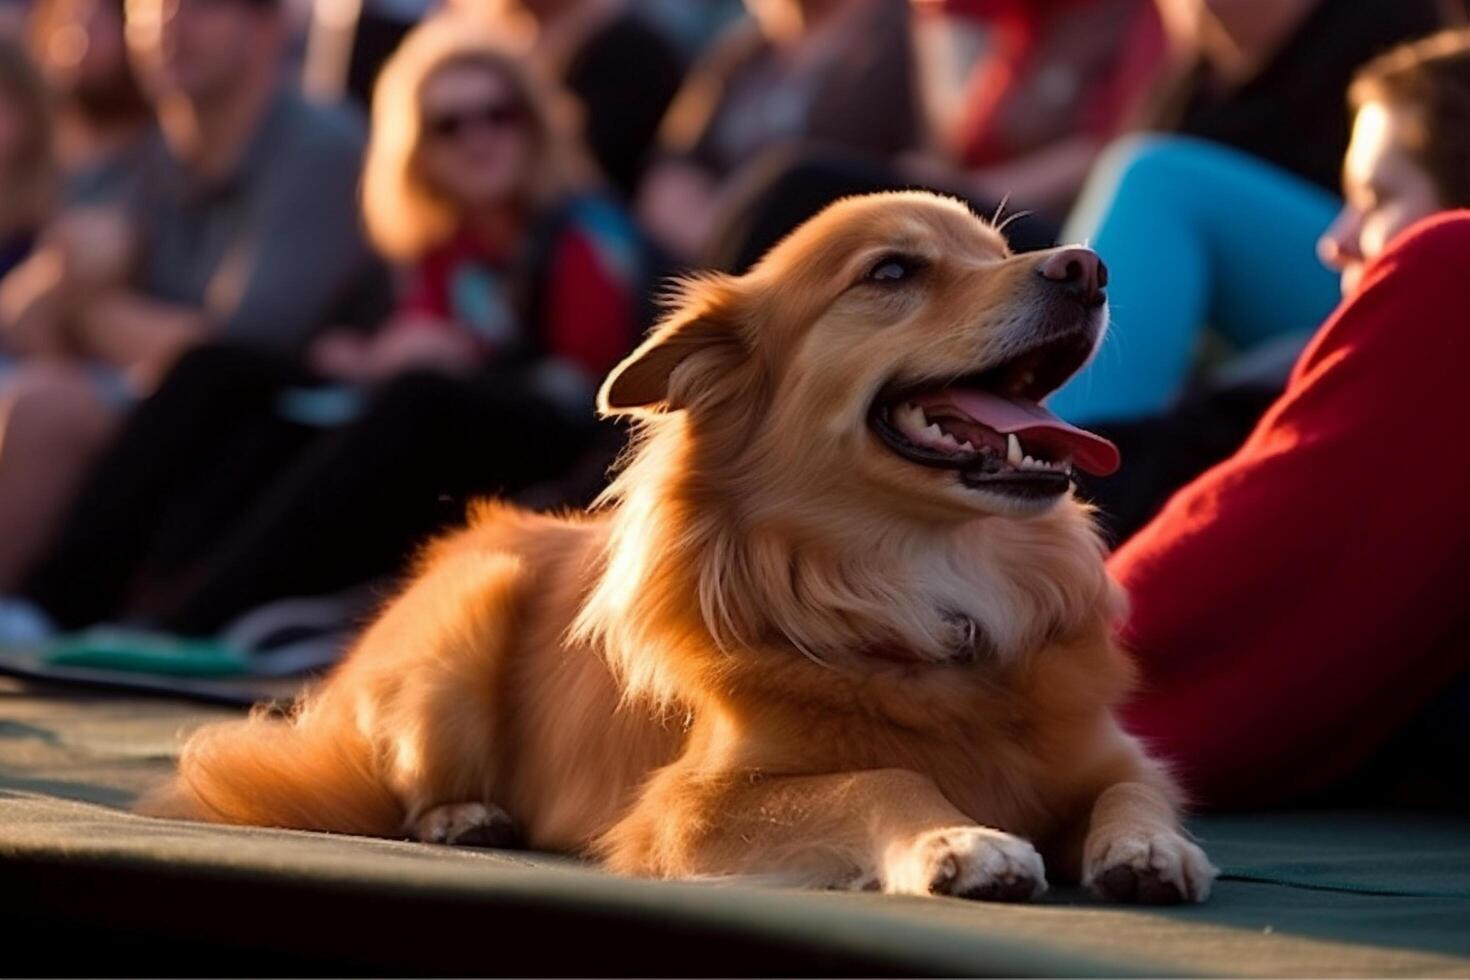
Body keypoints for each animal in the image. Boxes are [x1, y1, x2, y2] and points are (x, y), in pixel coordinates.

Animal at [138, 191, 1217, 905]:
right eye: (892, 272)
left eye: (1002, 248)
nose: (1086, 266)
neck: (925, 583)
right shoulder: (688, 807)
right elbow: (882, 775)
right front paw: (962, 839)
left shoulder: (1109, 754)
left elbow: (1136, 787)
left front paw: (1149, 849)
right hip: (465, 624)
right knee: (399, 786)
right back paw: (461, 813)